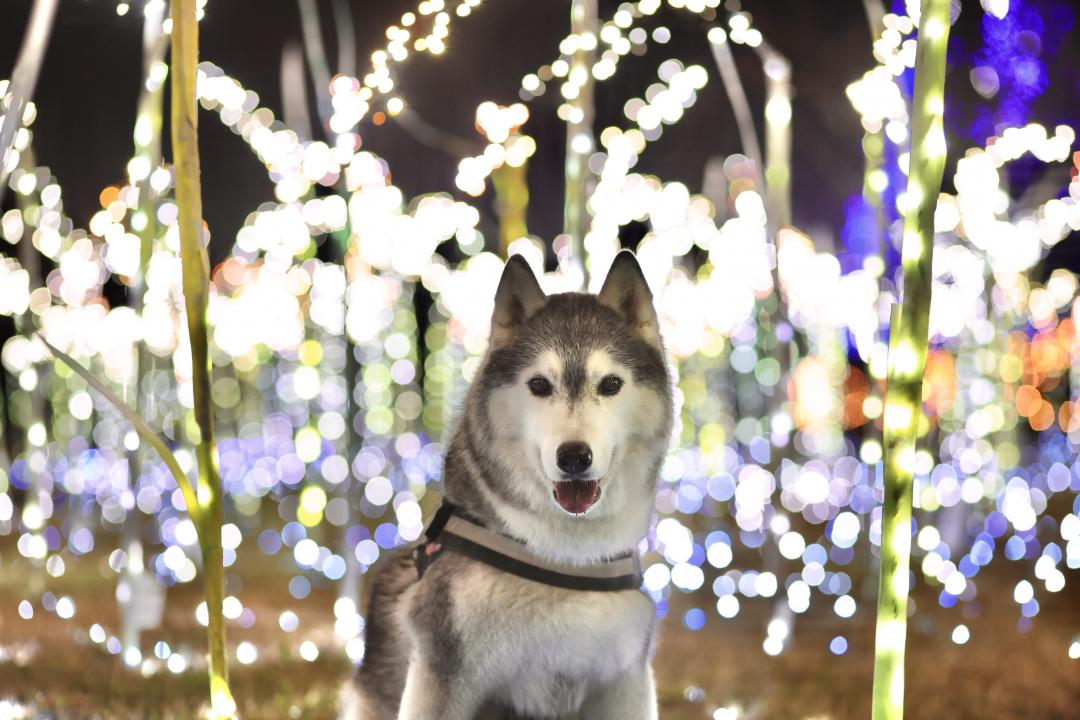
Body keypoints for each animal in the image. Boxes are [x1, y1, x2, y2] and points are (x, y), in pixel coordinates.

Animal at [341, 250, 669, 716]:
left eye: (610, 384)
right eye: (539, 385)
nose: (574, 457)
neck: (565, 559)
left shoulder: (627, 679)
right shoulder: (442, 669)